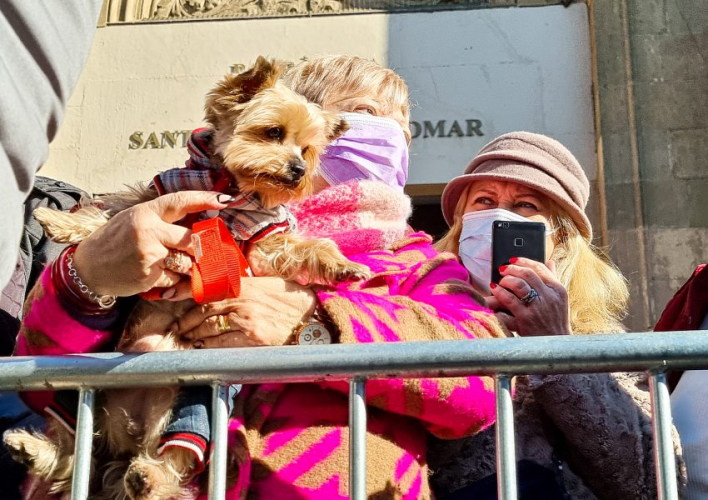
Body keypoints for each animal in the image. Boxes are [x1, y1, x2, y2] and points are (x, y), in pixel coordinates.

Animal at [5, 55, 370, 500]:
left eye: (307, 150)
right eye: (274, 132)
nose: (299, 170)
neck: (231, 186)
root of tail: (128, 434)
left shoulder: (264, 241)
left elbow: (306, 248)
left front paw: (344, 266)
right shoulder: (156, 197)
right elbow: (111, 213)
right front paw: (60, 221)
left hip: (195, 403)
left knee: (175, 452)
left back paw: (147, 477)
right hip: (74, 400)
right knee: (73, 448)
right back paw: (35, 449)